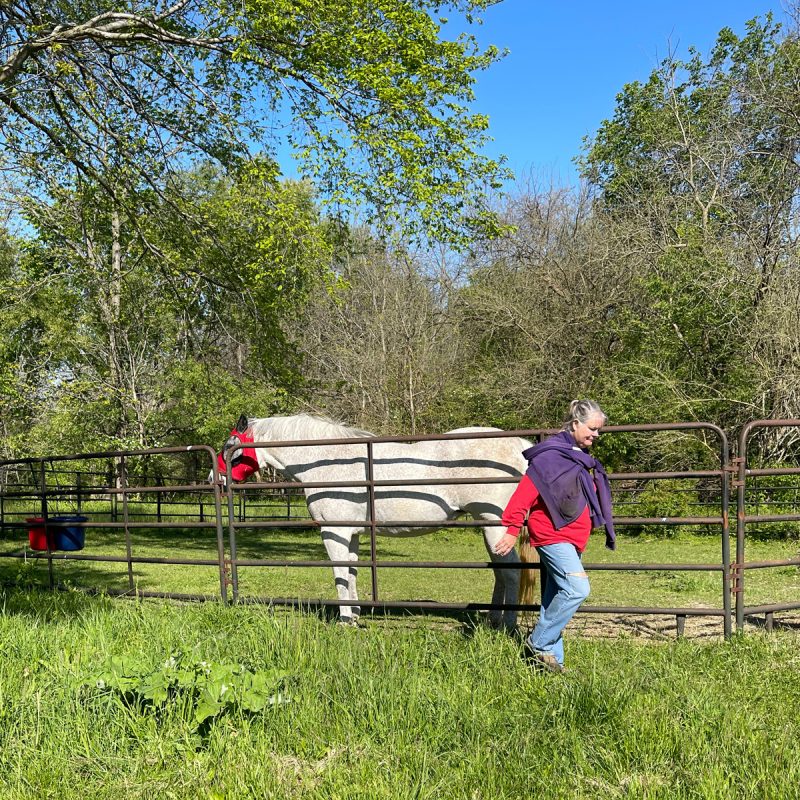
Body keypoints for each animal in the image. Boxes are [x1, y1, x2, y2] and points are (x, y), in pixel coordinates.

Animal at [214, 412, 532, 632]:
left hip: (494, 525)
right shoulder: (351, 534)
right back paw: (493, 620)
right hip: (487, 526)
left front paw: (345, 621)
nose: (213, 478)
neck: (325, 461)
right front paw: (354, 615)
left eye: (230, 445)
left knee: (512, 571)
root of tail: (520, 445)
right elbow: (352, 572)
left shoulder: (334, 532)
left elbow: (340, 573)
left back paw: (507, 625)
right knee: (500, 572)